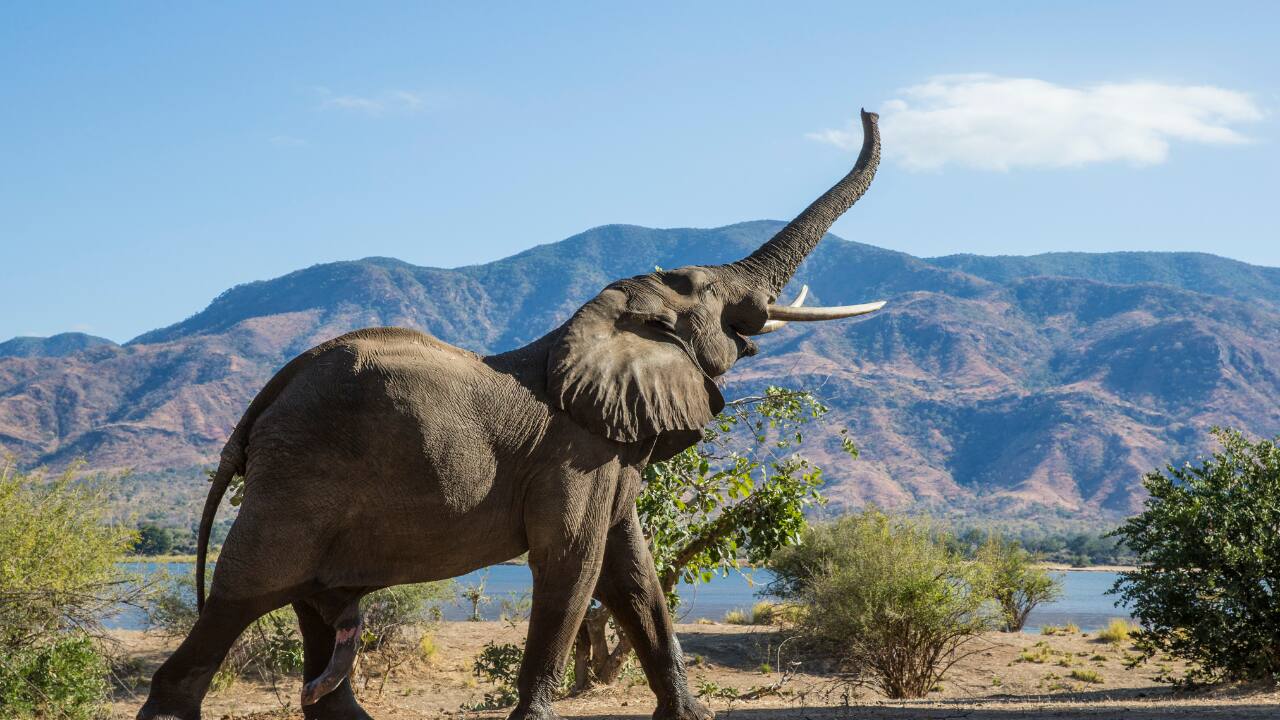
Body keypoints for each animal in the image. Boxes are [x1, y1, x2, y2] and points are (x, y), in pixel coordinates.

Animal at [137, 109, 883, 720]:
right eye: (705, 290)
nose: (869, 109)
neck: (595, 323)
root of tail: (260, 405)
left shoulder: (609, 452)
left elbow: (633, 574)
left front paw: (689, 716)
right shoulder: (575, 455)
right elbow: (573, 565)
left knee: (316, 623)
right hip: (296, 483)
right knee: (242, 599)